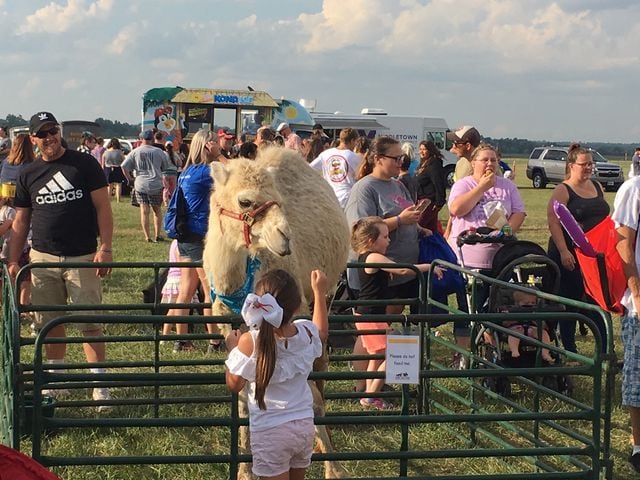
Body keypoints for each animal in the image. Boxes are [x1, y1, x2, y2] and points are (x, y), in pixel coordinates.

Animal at [202, 146, 348, 480]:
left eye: (278, 199)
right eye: (245, 201)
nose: (285, 236)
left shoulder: (297, 313)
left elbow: (310, 395)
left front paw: (333, 468)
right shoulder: (230, 326)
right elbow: (243, 395)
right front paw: (244, 468)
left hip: (328, 293)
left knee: (321, 369)